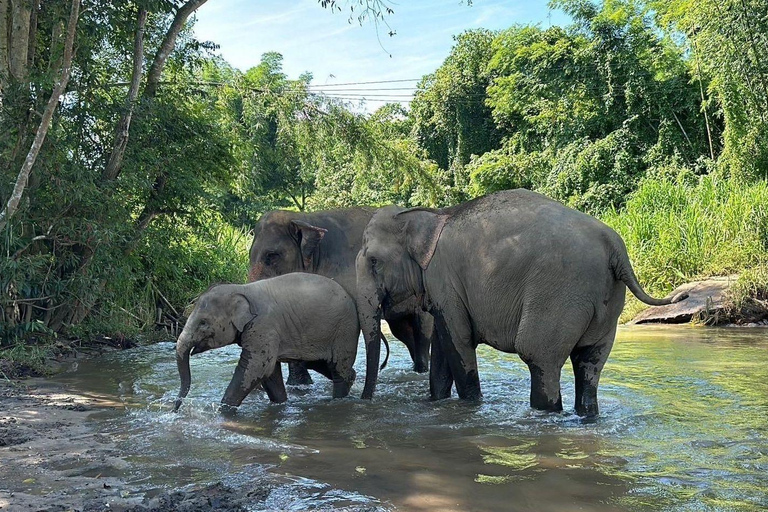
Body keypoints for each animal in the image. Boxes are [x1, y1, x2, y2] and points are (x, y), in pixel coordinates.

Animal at [176, 272, 362, 412]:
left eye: (203, 323)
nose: (176, 409)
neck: (240, 288)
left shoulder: (263, 327)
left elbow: (256, 367)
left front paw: (223, 411)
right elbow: (270, 371)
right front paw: (280, 404)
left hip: (345, 329)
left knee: (338, 368)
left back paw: (338, 400)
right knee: (321, 363)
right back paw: (351, 380)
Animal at [249, 207, 436, 384]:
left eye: (271, 255)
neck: (304, 218)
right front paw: (300, 385)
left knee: (422, 330)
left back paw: (421, 370)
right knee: (403, 331)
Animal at [356, 188, 688, 416]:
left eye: (373, 262)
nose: (364, 401)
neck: (432, 214)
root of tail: (615, 248)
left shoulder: (445, 280)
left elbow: (459, 343)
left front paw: (471, 405)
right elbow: (442, 344)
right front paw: (437, 402)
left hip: (558, 293)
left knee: (539, 357)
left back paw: (546, 414)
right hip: (605, 305)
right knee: (589, 364)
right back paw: (587, 415)